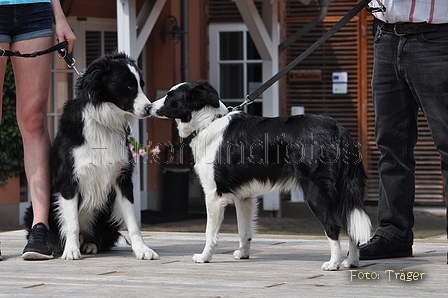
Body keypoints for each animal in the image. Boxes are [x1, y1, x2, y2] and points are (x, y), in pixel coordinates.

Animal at [24, 53, 158, 260]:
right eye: (129, 86)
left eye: (141, 84)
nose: (149, 108)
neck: (103, 121)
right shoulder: (68, 180)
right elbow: (72, 222)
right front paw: (71, 250)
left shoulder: (122, 179)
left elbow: (133, 222)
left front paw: (142, 250)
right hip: (33, 209)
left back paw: (89, 244)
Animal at [150, 81, 372, 270]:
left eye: (170, 97)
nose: (149, 107)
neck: (208, 121)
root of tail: (338, 129)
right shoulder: (244, 197)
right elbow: (244, 230)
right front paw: (243, 254)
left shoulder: (214, 195)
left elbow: (210, 232)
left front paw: (204, 257)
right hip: (343, 191)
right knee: (351, 225)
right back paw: (351, 262)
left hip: (316, 191)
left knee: (333, 227)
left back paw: (333, 263)